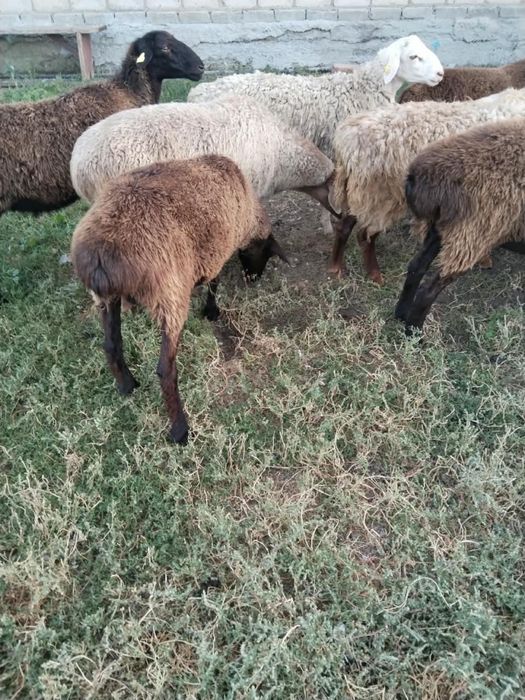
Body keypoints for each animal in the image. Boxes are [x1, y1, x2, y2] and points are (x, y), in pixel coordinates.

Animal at [70, 155, 281, 444]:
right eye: (265, 253)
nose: (254, 279)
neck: (247, 212)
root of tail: (102, 255)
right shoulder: (217, 252)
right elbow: (214, 283)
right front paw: (212, 311)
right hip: (169, 295)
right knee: (165, 370)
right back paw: (180, 430)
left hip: (106, 299)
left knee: (111, 345)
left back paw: (127, 387)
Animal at [330, 87, 525, 282]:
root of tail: (346, 141)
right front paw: (484, 260)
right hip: (380, 197)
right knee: (365, 236)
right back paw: (375, 275)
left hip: (360, 192)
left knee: (343, 226)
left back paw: (337, 268)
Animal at [394, 118, 525, 333]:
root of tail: (416, 175)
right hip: (469, 236)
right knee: (426, 292)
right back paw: (414, 334)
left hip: (441, 228)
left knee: (416, 266)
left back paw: (401, 314)